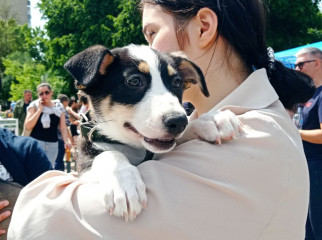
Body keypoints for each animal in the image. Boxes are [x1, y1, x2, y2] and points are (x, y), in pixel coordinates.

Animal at [65, 44, 242, 221]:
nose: (178, 121)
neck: (134, 148)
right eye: (134, 81)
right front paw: (124, 184)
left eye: (177, 82)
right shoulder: (84, 167)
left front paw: (211, 120)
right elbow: (109, 154)